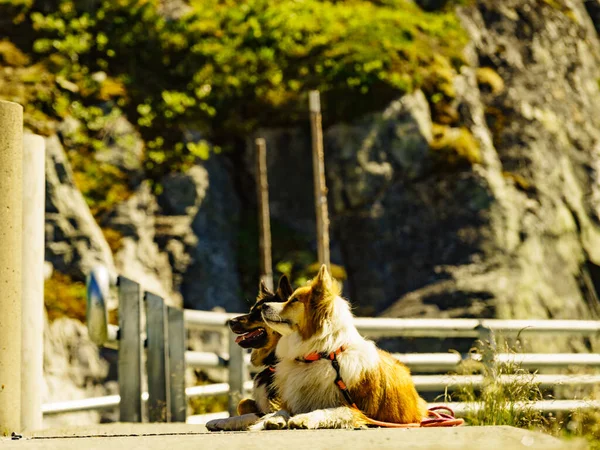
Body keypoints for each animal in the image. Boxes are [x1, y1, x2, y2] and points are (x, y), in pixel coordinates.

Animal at [251, 266, 428, 430]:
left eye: (294, 300)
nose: (263, 306)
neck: (319, 355)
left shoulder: (355, 410)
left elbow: (326, 411)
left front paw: (303, 418)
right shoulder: (292, 401)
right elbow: (280, 410)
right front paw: (273, 419)